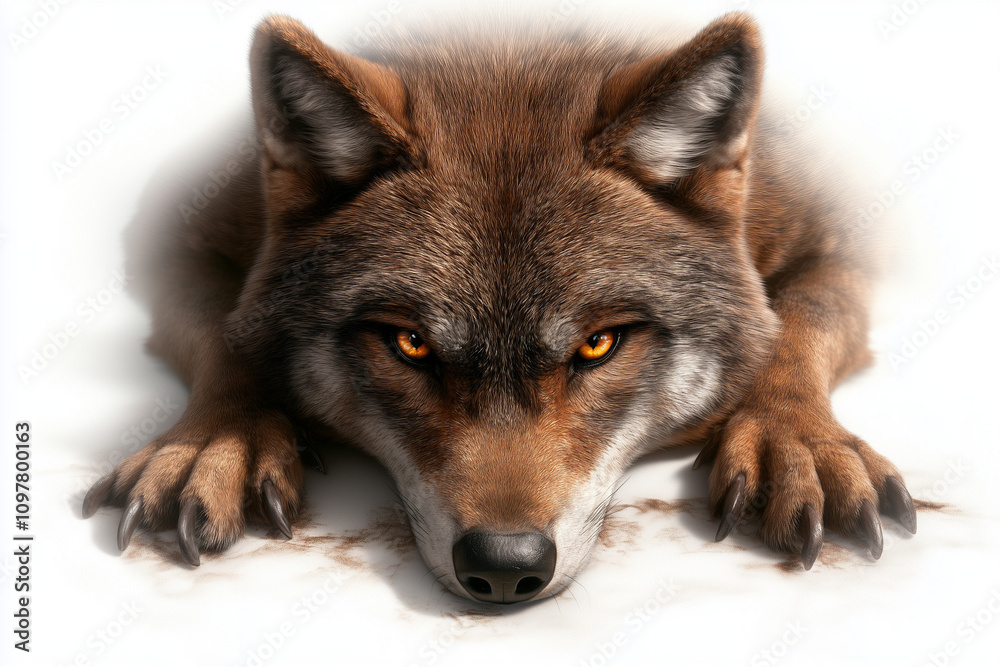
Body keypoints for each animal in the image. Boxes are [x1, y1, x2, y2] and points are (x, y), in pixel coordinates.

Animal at [83, 12, 917, 604]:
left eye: (598, 345)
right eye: (411, 344)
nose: (507, 566)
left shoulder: (845, 231)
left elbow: (800, 323)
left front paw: (796, 444)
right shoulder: (176, 230)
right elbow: (224, 337)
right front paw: (214, 444)